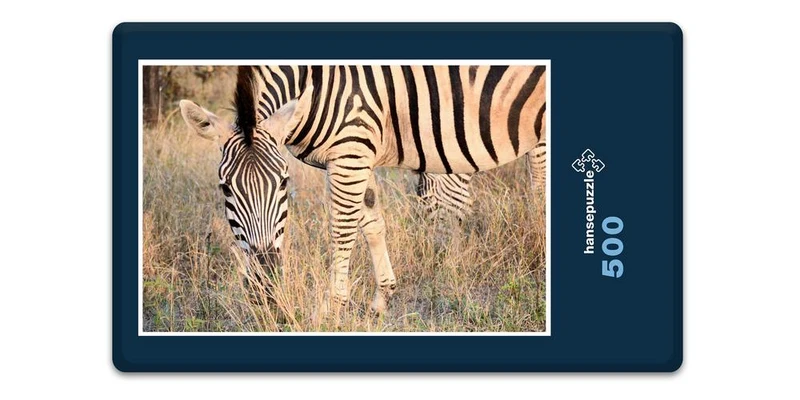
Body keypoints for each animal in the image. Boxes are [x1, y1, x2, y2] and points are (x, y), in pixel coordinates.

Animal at [179, 65, 547, 314]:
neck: (314, 85)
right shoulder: (358, 151)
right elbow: (371, 223)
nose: (266, 280)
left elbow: (342, 230)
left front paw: (332, 308)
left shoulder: (351, 150)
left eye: (284, 182)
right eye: (225, 188)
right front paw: (383, 297)